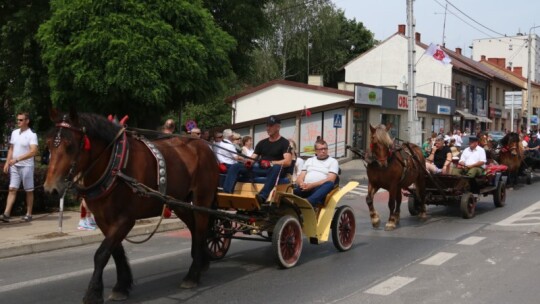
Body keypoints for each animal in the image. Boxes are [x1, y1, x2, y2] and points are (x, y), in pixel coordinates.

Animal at [42, 109, 219, 304]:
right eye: (48, 145)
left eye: (70, 146)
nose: (51, 189)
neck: (115, 166)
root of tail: (204, 145)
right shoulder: (103, 220)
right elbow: (115, 252)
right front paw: (121, 286)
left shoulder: (125, 220)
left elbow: (101, 254)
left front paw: (93, 292)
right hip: (179, 203)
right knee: (194, 228)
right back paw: (201, 263)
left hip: (202, 199)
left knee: (201, 229)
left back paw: (192, 275)